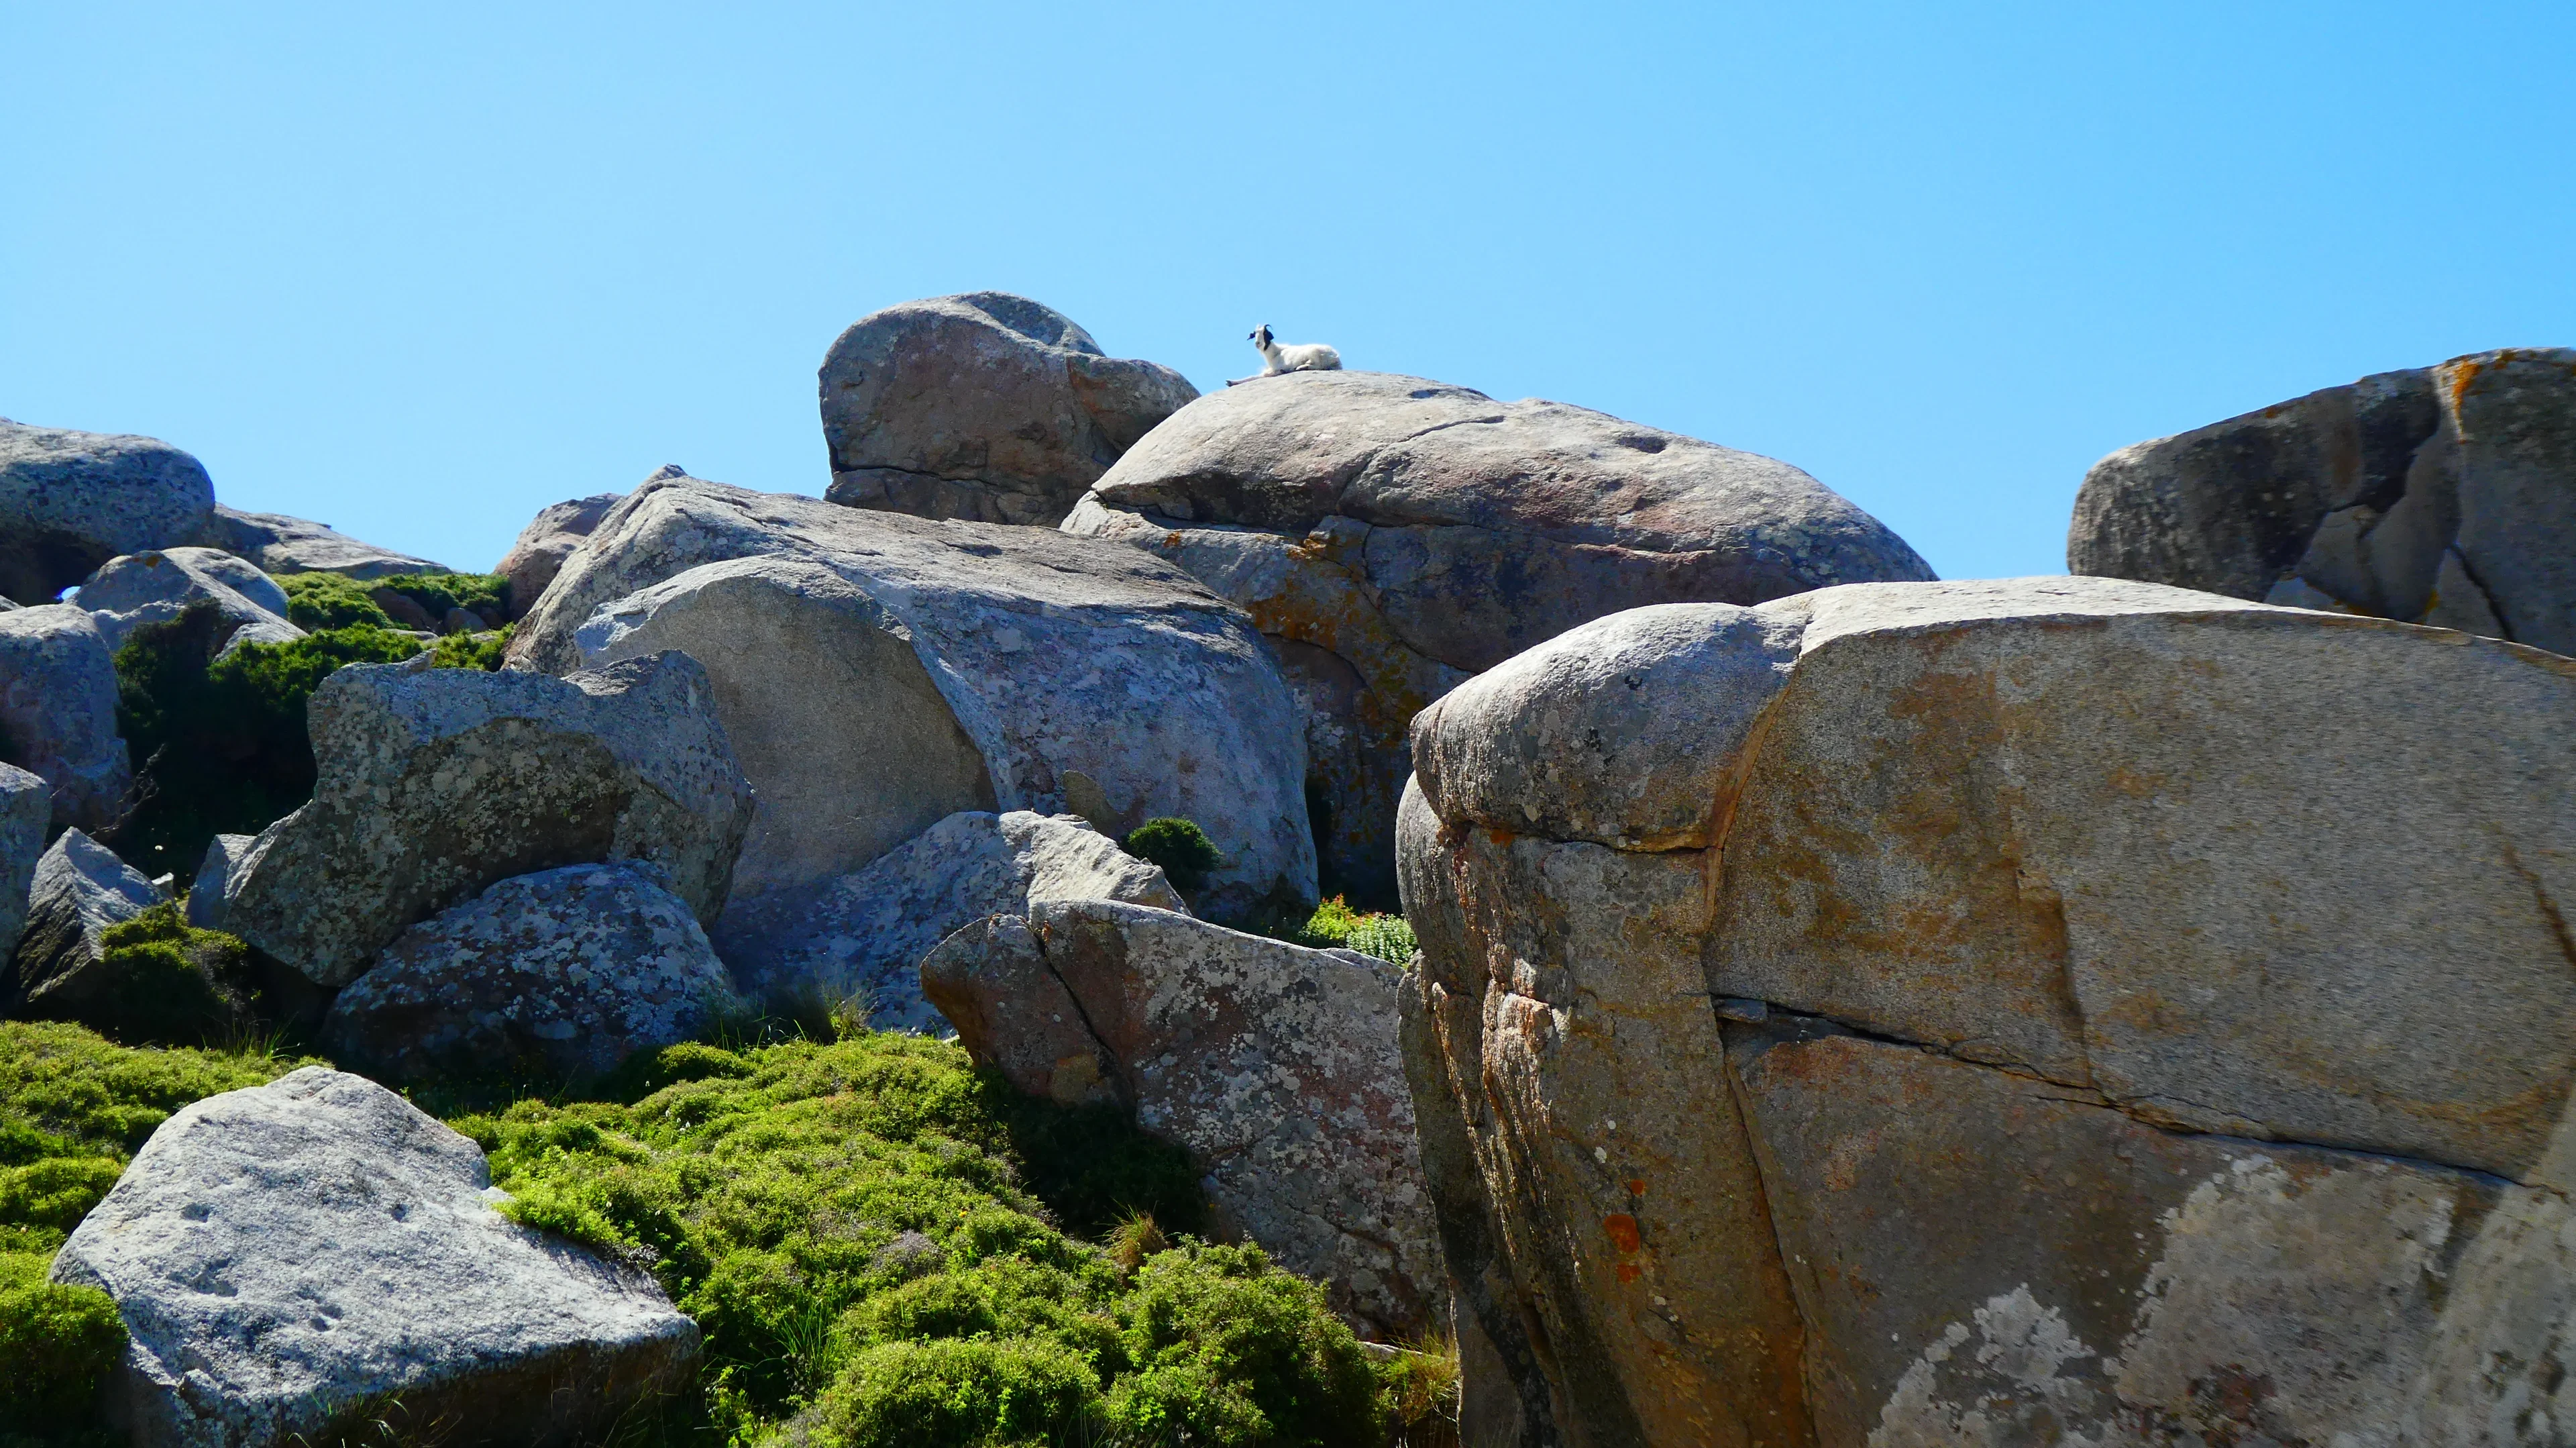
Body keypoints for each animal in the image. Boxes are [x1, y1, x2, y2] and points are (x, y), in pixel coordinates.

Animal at [1228, 324, 1342, 385]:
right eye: (1254, 334)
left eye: (1265, 333)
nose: (1257, 343)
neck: (1275, 352)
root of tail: (1335, 357)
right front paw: (1230, 382)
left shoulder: (1275, 368)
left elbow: (1259, 376)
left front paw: (1231, 382)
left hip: (1314, 354)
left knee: (1318, 366)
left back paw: (1300, 367)